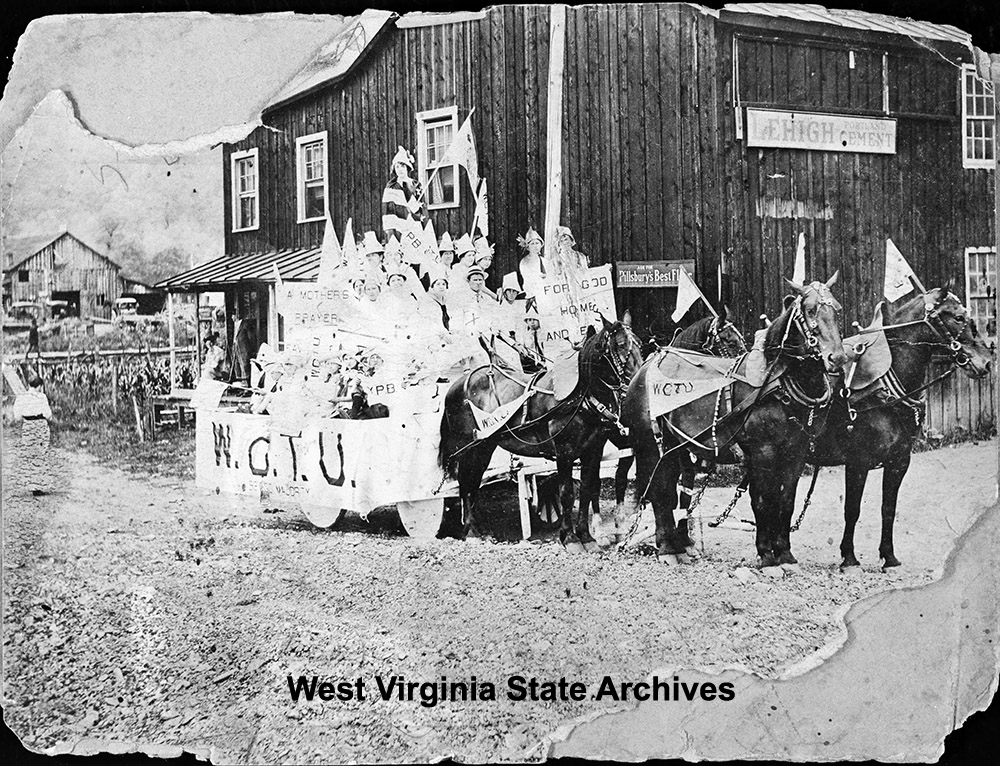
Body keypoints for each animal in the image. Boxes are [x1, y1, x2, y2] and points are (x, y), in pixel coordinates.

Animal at [438, 318, 640, 552]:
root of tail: (458, 384)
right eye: (620, 345)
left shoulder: (593, 450)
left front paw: (587, 537)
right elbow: (567, 493)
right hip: (468, 448)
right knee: (465, 483)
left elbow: (588, 490)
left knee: (472, 484)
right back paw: (470, 531)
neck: (580, 396)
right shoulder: (564, 452)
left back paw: (480, 531)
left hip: (484, 447)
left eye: (639, 344)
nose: (637, 384)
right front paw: (570, 538)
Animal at [624, 274, 844, 564]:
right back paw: (668, 549)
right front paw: (767, 555)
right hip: (651, 445)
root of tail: (646, 366)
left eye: (837, 310)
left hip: (675, 447)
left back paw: (675, 544)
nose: (837, 357)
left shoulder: (795, 454)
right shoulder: (763, 452)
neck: (778, 382)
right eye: (809, 311)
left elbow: (785, 502)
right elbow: (763, 501)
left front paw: (784, 553)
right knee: (660, 491)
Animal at [808, 288, 996, 568]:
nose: (986, 363)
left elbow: (889, 508)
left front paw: (889, 556)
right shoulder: (857, 462)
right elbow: (852, 509)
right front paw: (849, 557)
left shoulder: (899, 461)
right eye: (959, 317)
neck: (883, 391)